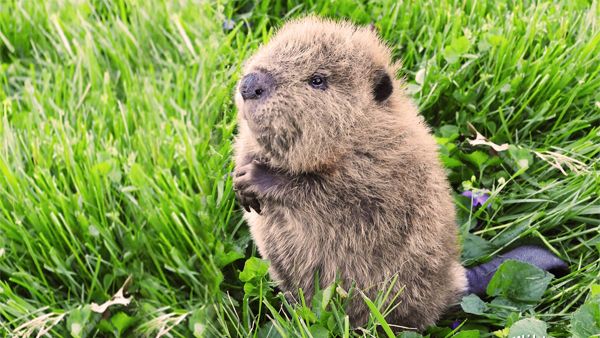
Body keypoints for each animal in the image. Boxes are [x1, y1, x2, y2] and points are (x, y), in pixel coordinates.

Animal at [231, 16, 568, 330]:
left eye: (317, 80)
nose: (250, 84)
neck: (365, 130)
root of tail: (457, 283)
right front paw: (241, 178)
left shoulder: (380, 166)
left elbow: (328, 194)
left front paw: (257, 178)